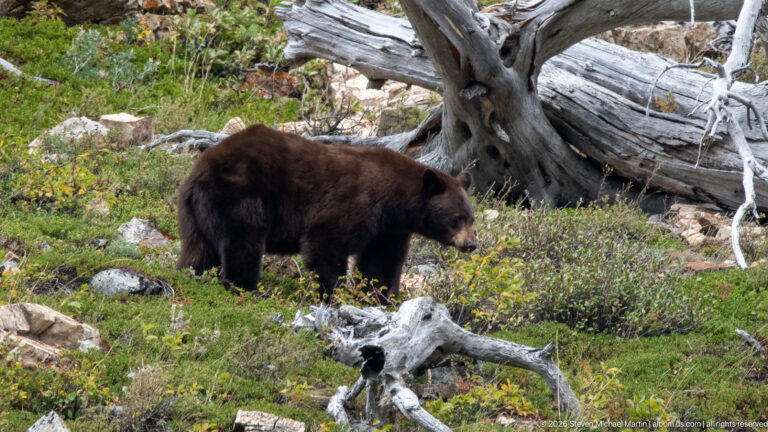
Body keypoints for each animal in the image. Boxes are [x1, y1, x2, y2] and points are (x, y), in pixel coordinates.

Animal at [176, 124, 476, 300]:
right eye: (457, 218)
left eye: (472, 219)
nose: (471, 244)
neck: (394, 199)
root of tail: (199, 170)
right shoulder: (354, 203)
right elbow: (327, 244)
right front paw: (334, 293)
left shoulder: (389, 229)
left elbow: (381, 262)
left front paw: (377, 297)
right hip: (241, 196)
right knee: (243, 242)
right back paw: (246, 287)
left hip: (195, 213)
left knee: (198, 250)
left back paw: (192, 274)